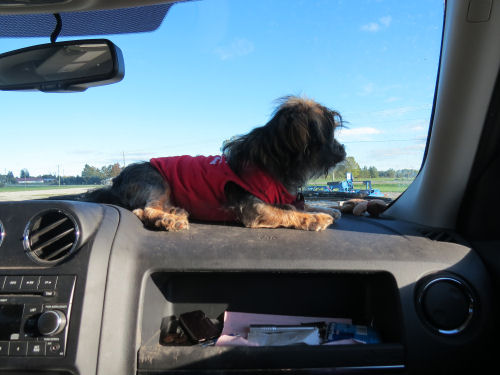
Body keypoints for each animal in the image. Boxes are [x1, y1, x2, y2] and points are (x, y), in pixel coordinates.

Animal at [84, 96, 346, 232]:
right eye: (330, 136)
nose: (343, 149)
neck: (272, 162)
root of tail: (115, 182)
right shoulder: (254, 209)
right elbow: (288, 211)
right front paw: (316, 218)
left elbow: (296, 205)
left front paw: (327, 209)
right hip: (156, 180)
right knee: (143, 210)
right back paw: (169, 220)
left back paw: (174, 212)